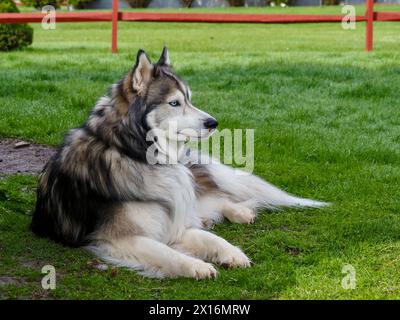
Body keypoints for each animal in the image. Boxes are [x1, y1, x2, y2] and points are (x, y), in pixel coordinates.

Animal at [30, 47, 324, 280]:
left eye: (190, 99)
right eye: (174, 103)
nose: (213, 123)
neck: (131, 152)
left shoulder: (175, 219)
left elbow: (212, 238)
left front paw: (232, 252)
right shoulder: (120, 238)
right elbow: (167, 252)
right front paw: (196, 266)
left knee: (214, 200)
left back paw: (239, 212)